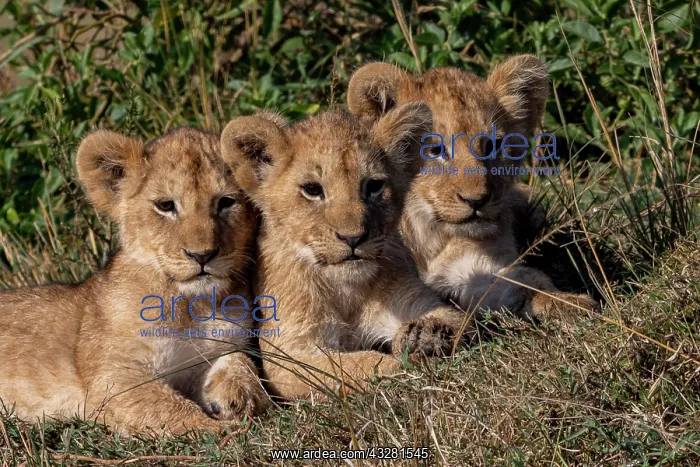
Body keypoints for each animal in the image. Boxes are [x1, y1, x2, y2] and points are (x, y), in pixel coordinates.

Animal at [0, 128, 270, 435]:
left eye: (226, 202)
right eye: (165, 205)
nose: (202, 255)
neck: (193, 305)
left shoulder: (216, 349)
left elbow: (240, 361)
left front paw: (241, 396)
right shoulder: (114, 377)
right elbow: (170, 409)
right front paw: (222, 430)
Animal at [220, 104, 478, 400]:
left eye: (374, 185)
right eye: (312, 189)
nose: (353, 238)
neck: (345, 291)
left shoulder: (414, 299)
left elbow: (455, 317)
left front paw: (426, 335)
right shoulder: (288, 356)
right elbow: (354, 365)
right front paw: (405, 366)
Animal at [347, 55, 596, 321]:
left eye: (491, 146)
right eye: (434, 150)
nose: (476, 201)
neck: (426, 232)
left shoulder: (475, 266)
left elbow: (528, 281)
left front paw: (572, 303)